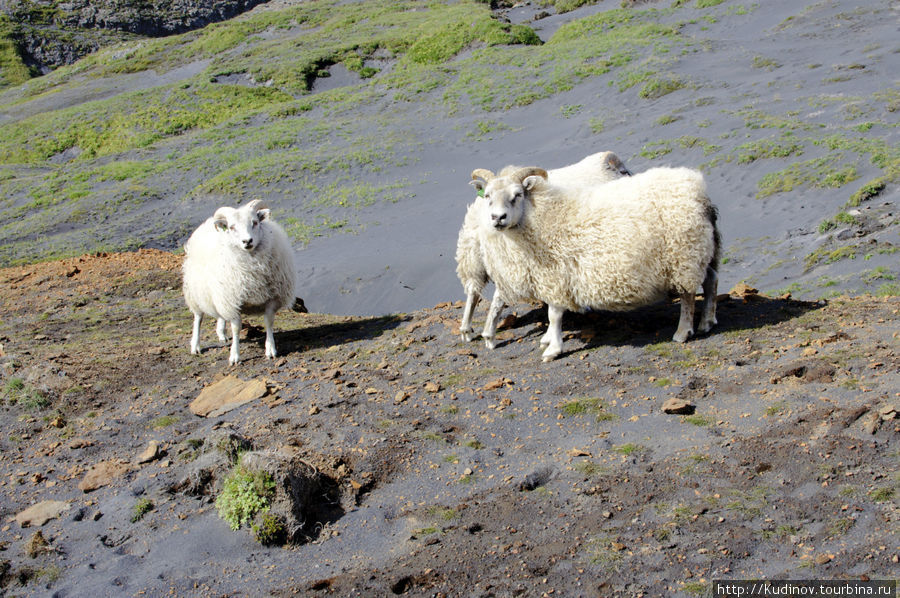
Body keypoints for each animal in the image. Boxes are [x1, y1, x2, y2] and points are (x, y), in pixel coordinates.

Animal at [181, 200, 298, 366]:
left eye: (255, 222)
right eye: (231, 227)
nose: (247, 241)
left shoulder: (272, 298)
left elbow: (269, 322)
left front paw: (270, 349)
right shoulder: (233, 302)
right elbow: (236, 328)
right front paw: (235, 356)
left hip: (219, 295)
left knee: (220, 315)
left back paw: (221, 333)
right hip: (196, 293)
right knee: (198, 318)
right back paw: (195, 346)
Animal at [454, 152, 628, 344]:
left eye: (517, 194)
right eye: (488, 195)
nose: (498, 217)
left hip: (473, 256)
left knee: (473, 290)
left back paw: (468, 331)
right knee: (497, 295)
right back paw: (489, 335)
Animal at [472, 165, 716, 360]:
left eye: (517, 194)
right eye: (487, 196)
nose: (497, 218)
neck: (539, 217)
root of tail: (698, 188)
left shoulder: (556, 277)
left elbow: (554, 315)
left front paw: (553, 349)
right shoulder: (549, 279)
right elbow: (552, 313)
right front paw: (549, 340)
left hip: (684, 255)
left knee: (688, 295)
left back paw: (683, 332)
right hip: (701, 249)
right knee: (712, 280)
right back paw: (707, 322)